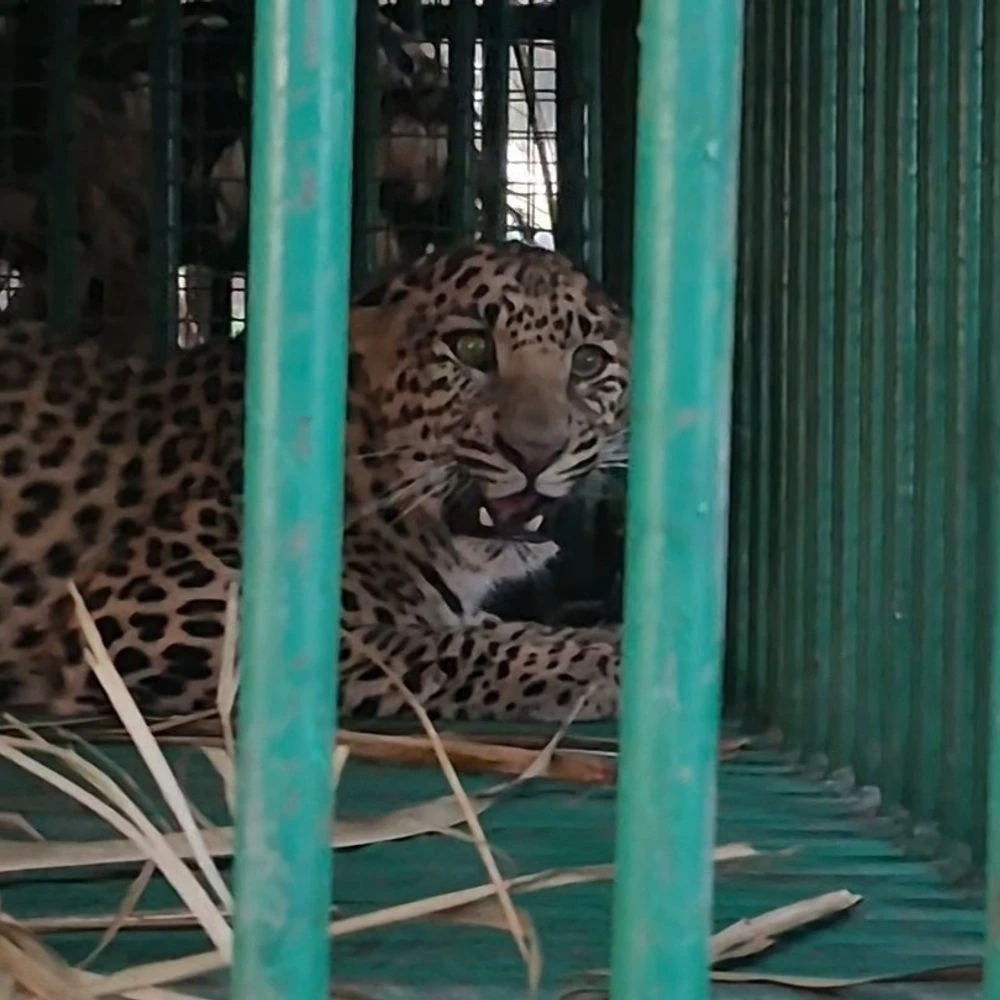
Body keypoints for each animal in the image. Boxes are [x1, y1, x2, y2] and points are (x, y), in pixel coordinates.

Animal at [0, 240, 627, 723]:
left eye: (588, 363)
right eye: (470, 348)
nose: (536, 452)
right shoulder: (136, 609)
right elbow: (416, 645)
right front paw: (601, 663)